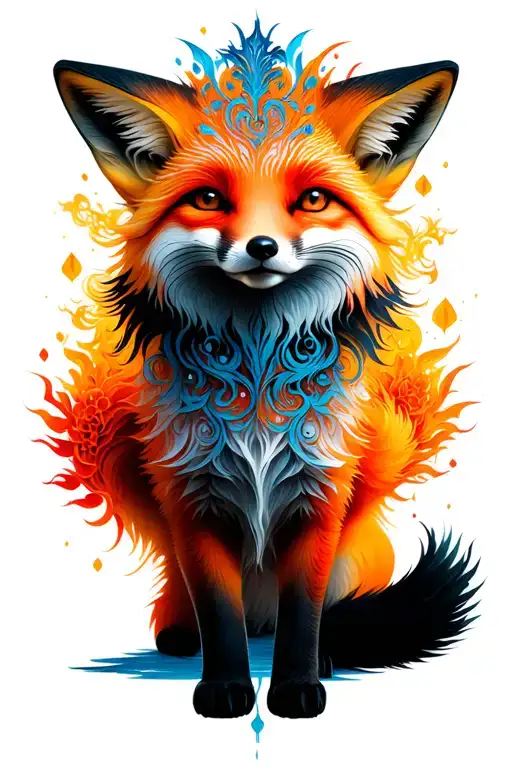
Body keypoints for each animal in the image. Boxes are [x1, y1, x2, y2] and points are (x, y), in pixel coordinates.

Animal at [38, 19, 479, 719]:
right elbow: (219, 613)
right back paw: (181, 632)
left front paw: (298, 685)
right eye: (209, 198)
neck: (258, 380)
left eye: (314, 200)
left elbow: (305, 612)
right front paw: (224, 689)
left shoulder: (320, 497)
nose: (262, 246)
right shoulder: (191, 499)